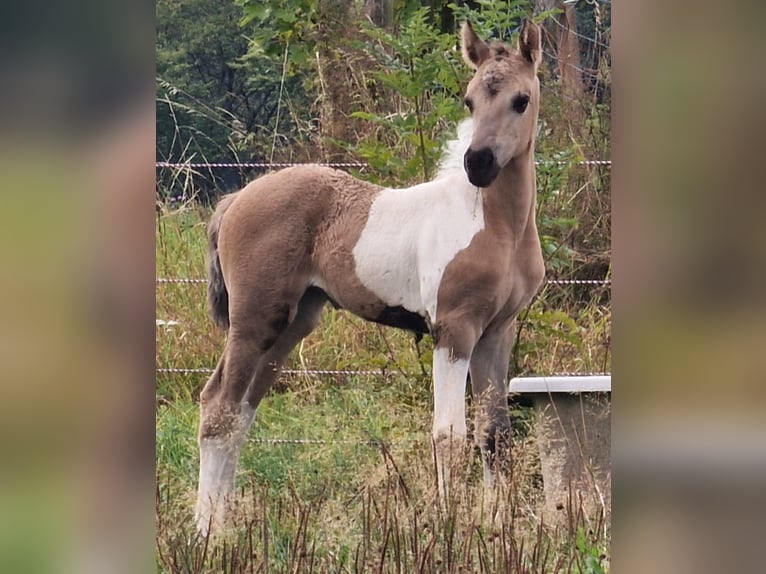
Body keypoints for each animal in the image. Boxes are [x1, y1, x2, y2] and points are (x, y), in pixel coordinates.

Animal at [198, 19, 544, 536]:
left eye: (520, 100)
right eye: (469, 101)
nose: (477, 163)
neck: (496, 224)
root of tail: (236, 198)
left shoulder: (497, 332)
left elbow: (494, 433)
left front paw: (497, 527)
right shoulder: (454, 329)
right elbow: (449, 434)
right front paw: (450, 528)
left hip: (292, 325)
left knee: (240, 414)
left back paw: (228, 523)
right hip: (254, 320)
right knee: (218, 407)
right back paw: (207, 532)